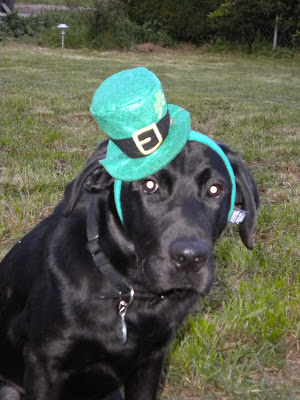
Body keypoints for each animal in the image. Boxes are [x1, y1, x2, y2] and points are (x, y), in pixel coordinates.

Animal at [0, 139, 258, 398]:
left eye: (215, 190)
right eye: (149, 184)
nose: (190, 258)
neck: (130, 291)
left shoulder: (152, 360)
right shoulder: (45, 363)